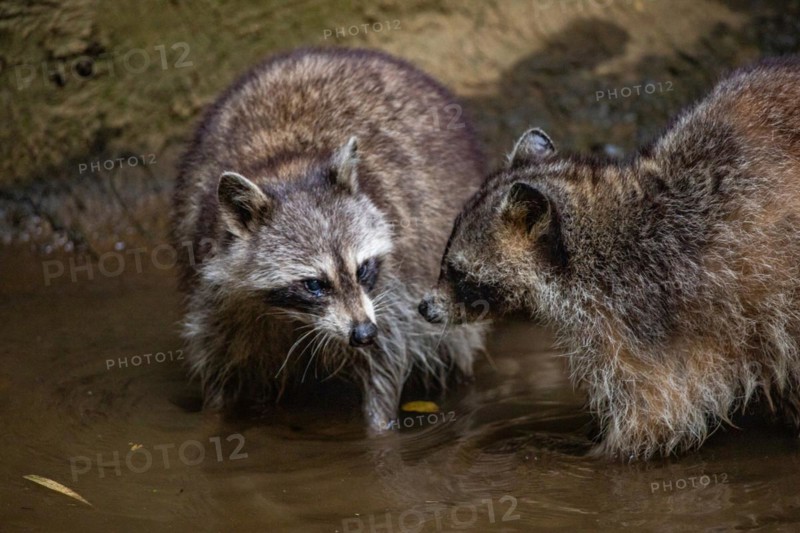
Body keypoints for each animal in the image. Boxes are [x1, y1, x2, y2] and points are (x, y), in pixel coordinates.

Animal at [171, 48, 486, 432]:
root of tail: (342, 52)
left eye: (362, 268)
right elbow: (219, 362)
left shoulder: (392, 289)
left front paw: (379, 427)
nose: (363, 333)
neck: (286, 166)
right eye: (313, 284)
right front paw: (211, 416)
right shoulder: (213, 288)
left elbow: (386, 359)